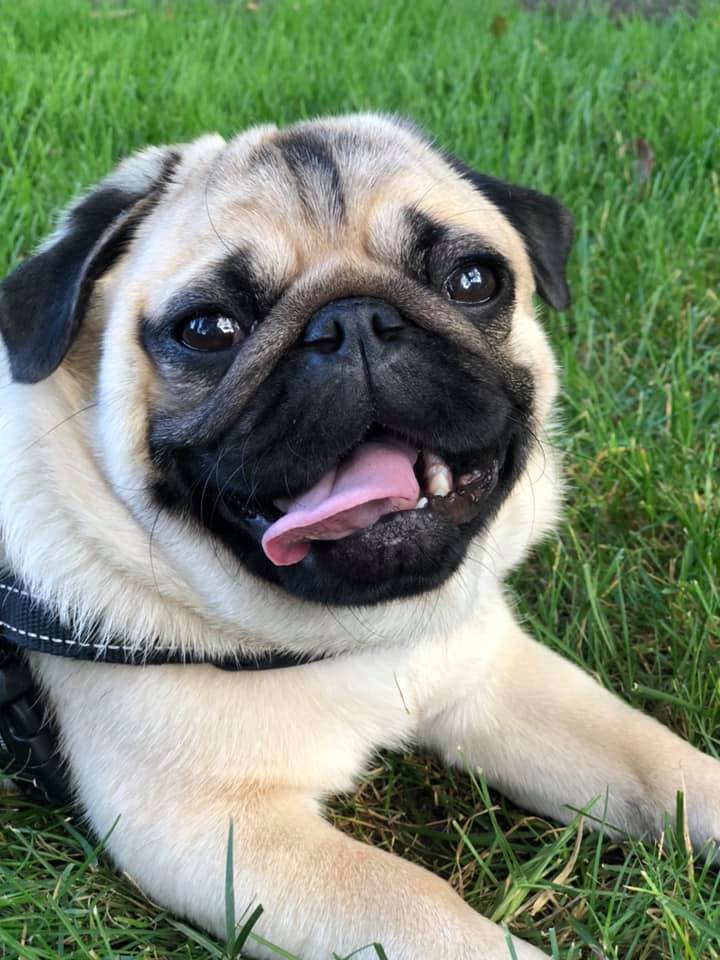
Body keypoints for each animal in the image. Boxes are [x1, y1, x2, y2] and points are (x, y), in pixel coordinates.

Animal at [1, 114, 718, 959]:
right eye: (208, 330)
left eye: (475, 281)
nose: (353, 321)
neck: (360, 637)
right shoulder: (216, 826)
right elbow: (418, 905)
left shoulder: (495, 681)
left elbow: (660, 763)